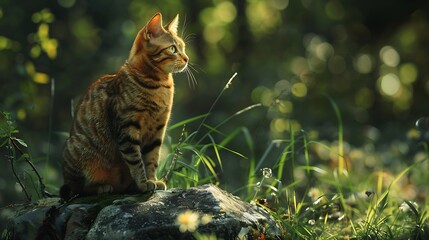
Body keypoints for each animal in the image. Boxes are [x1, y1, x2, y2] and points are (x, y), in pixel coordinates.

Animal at [61, 12, 188, 201]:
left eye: (183, 47)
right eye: (173, 49)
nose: (187, 58)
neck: (159, 84)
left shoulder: (158, 129)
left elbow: (151, 159)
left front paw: (152, 180)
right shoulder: (127, 127)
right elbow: (136, 160)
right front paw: (143, 183)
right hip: (78, 149)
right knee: (77, 190)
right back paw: (101, 187)